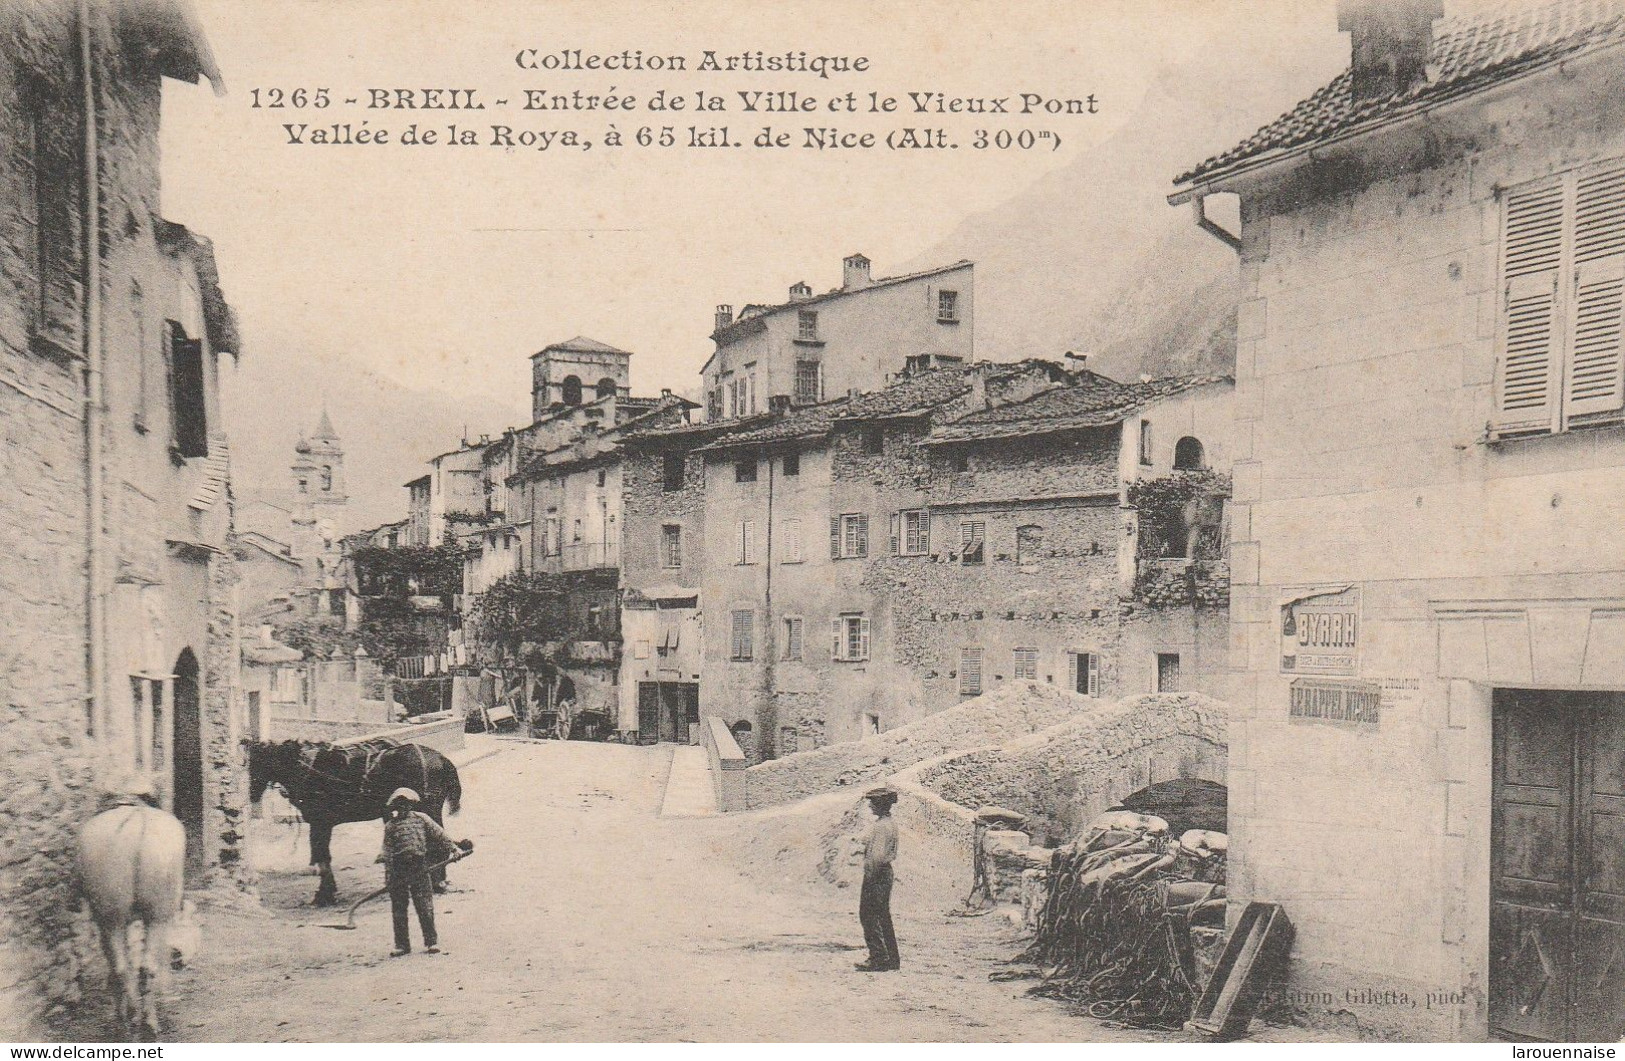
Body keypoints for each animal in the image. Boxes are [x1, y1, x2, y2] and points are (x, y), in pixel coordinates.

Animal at [76, 799, 187, 1039]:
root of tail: (137, 819)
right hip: (153, 915)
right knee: (140, 967)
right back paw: (144, 1021)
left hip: (114, 917)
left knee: (123, 967)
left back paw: (130, 1020)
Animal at [247, 737, 464, 903]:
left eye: (257, 763)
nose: (252, 794)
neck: (310, 769)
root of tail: (441, 758)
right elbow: (322, 857)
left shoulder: (320, 822)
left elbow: (323, 857)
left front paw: (325, 895)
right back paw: (436, 881)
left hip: (428, 808)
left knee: (438, 845)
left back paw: (436, 883)